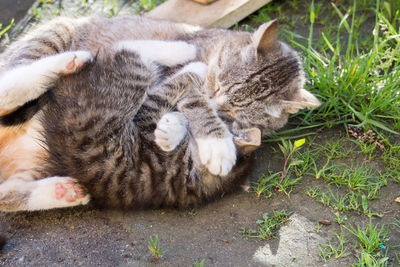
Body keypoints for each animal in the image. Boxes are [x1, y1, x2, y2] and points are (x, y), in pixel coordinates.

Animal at [0, 15, 320, 213]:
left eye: (233, 108)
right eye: (218, 81)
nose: (215, 98)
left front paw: (173, 128)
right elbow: (191, 99)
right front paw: (215, 142)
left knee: (6, 195)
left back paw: (58, 191)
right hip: (54, 36)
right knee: (8, 86)